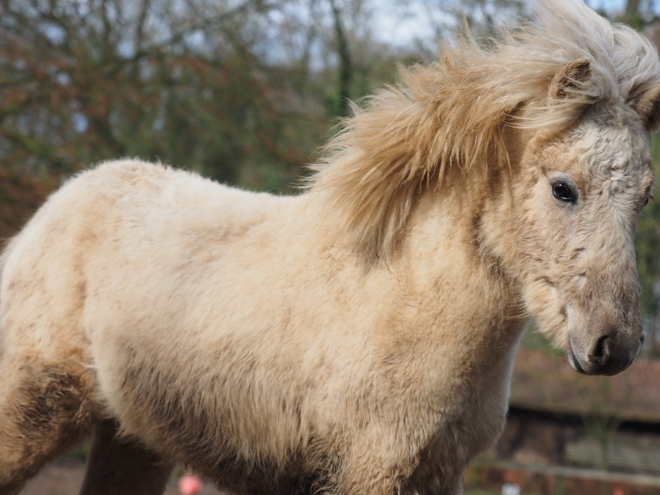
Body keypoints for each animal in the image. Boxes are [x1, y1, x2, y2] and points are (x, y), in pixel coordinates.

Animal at [1, 0, 660, 495]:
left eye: (646, 197)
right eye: (563, 188)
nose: (613, 345)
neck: (404, 302)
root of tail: (57, 206)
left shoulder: (439, 475)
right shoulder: (370, 474)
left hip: (131, 437)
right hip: (32, 411)